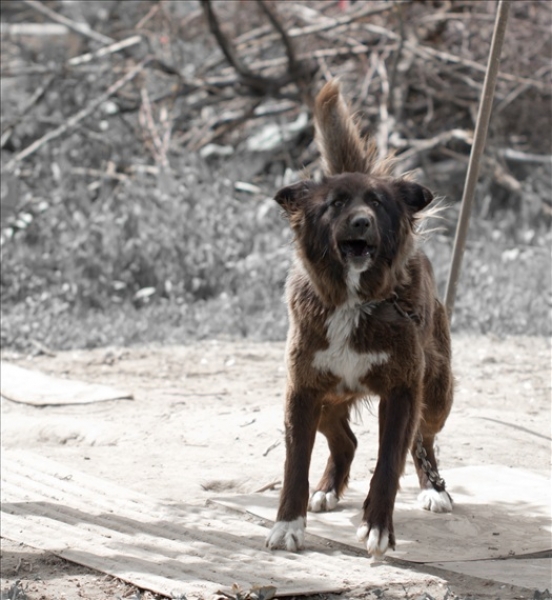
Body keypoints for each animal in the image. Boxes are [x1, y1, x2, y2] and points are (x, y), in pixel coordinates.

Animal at [266, 79, 452, 556]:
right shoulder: (302, 390)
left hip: (436, 393)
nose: (362, 222)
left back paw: (434, 488)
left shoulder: (403, 391)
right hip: (329, 397)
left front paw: (378, 527)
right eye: (334, 204)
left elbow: (388, 463)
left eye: (378, 202)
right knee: (346, 441)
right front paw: (288, 525)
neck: (353, 300)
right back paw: (326, 490)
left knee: (423, 441)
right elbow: (294, 464)